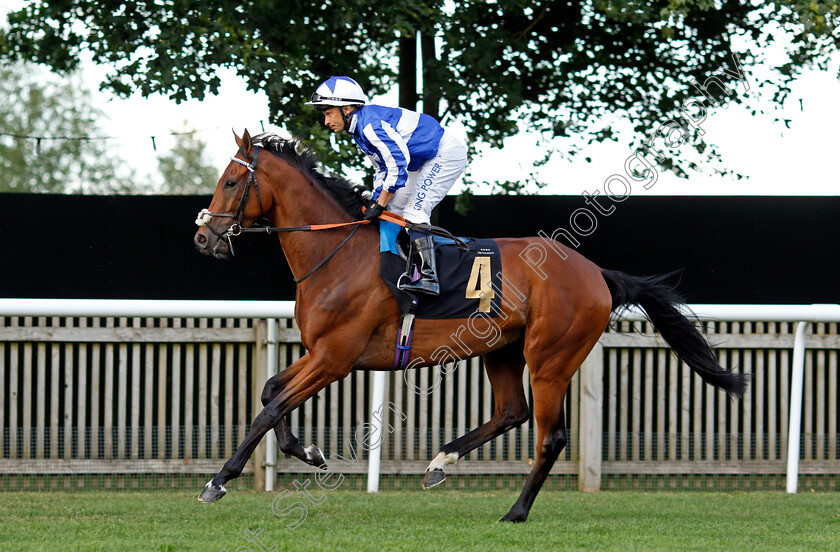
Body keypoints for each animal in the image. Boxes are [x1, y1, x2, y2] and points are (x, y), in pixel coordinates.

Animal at [192, 129, 748, 520]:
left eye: (232, 182)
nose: (203, 238)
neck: (337, 253)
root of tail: (596, 273)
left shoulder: (337, 357)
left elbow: (270, 408)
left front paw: (218, 481)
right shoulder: (320, 352)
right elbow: (270, 391)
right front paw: (307, 452)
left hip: (551, 357)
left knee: (550, 435)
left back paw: (515, 512)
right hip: (501, 349)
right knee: (511, 412)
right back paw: (442, 462)